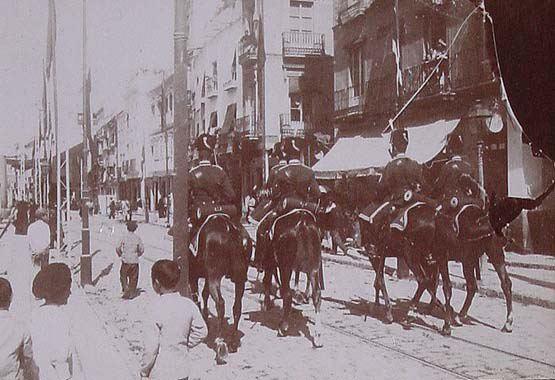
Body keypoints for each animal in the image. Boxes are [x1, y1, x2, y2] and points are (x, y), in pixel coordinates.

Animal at [190, 214, 253, 366]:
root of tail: (230, 228)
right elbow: (204, 295)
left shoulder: (194, 275)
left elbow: (197, 298)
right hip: (239, 277)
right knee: (237, 306)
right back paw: (232, 341)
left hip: (215, 276)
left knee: (220, 303)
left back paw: (220, 343)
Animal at [262, 209, 324, 348]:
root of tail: (302, 222)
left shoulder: (270, 262)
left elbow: (267, 280)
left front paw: (267, 303)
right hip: (314, 268)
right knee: (316, 296)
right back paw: (317, 337)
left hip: (285, 267)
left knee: (287, 293)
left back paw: (283, 326)